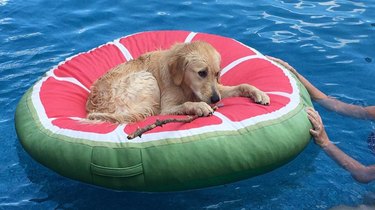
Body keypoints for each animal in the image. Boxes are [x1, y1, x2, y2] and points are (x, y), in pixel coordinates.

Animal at [86, 40, 270, 123]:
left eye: (217, 73)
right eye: (201, 73)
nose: (215, 100)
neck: (184, 85)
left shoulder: (216, 89)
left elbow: (242, 85)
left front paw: (258, 93)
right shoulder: (167, 108)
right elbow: (186, 104)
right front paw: (199, 106)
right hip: (147, 79)